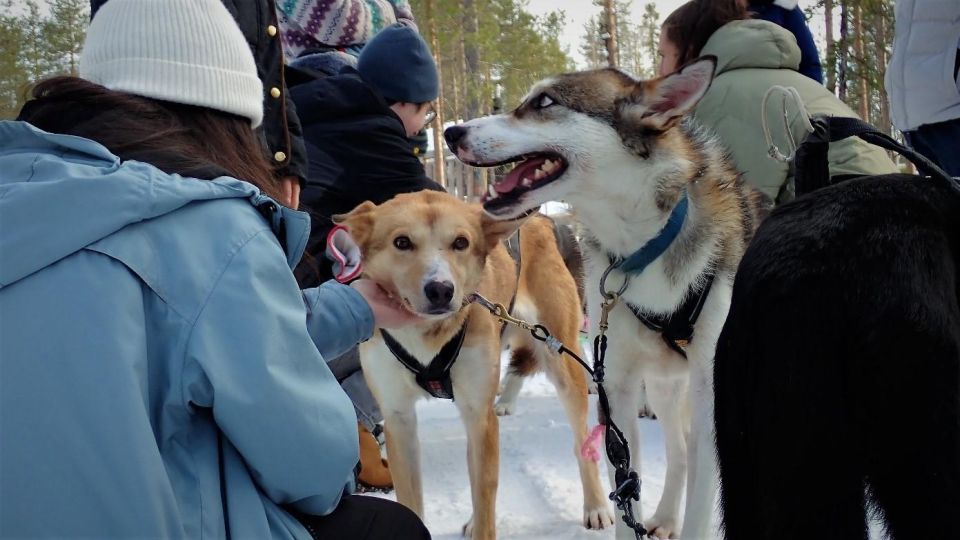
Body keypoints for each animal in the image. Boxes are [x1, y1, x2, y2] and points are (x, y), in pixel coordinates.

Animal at [446, 57, 768, 536]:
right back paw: (665, 517)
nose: (452, 132)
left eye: (544, 102)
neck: (643, 243)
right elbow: (625, 490)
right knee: (677, 453)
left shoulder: (711, 392)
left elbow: (701, 502)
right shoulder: (617, 386)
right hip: (663, 387)